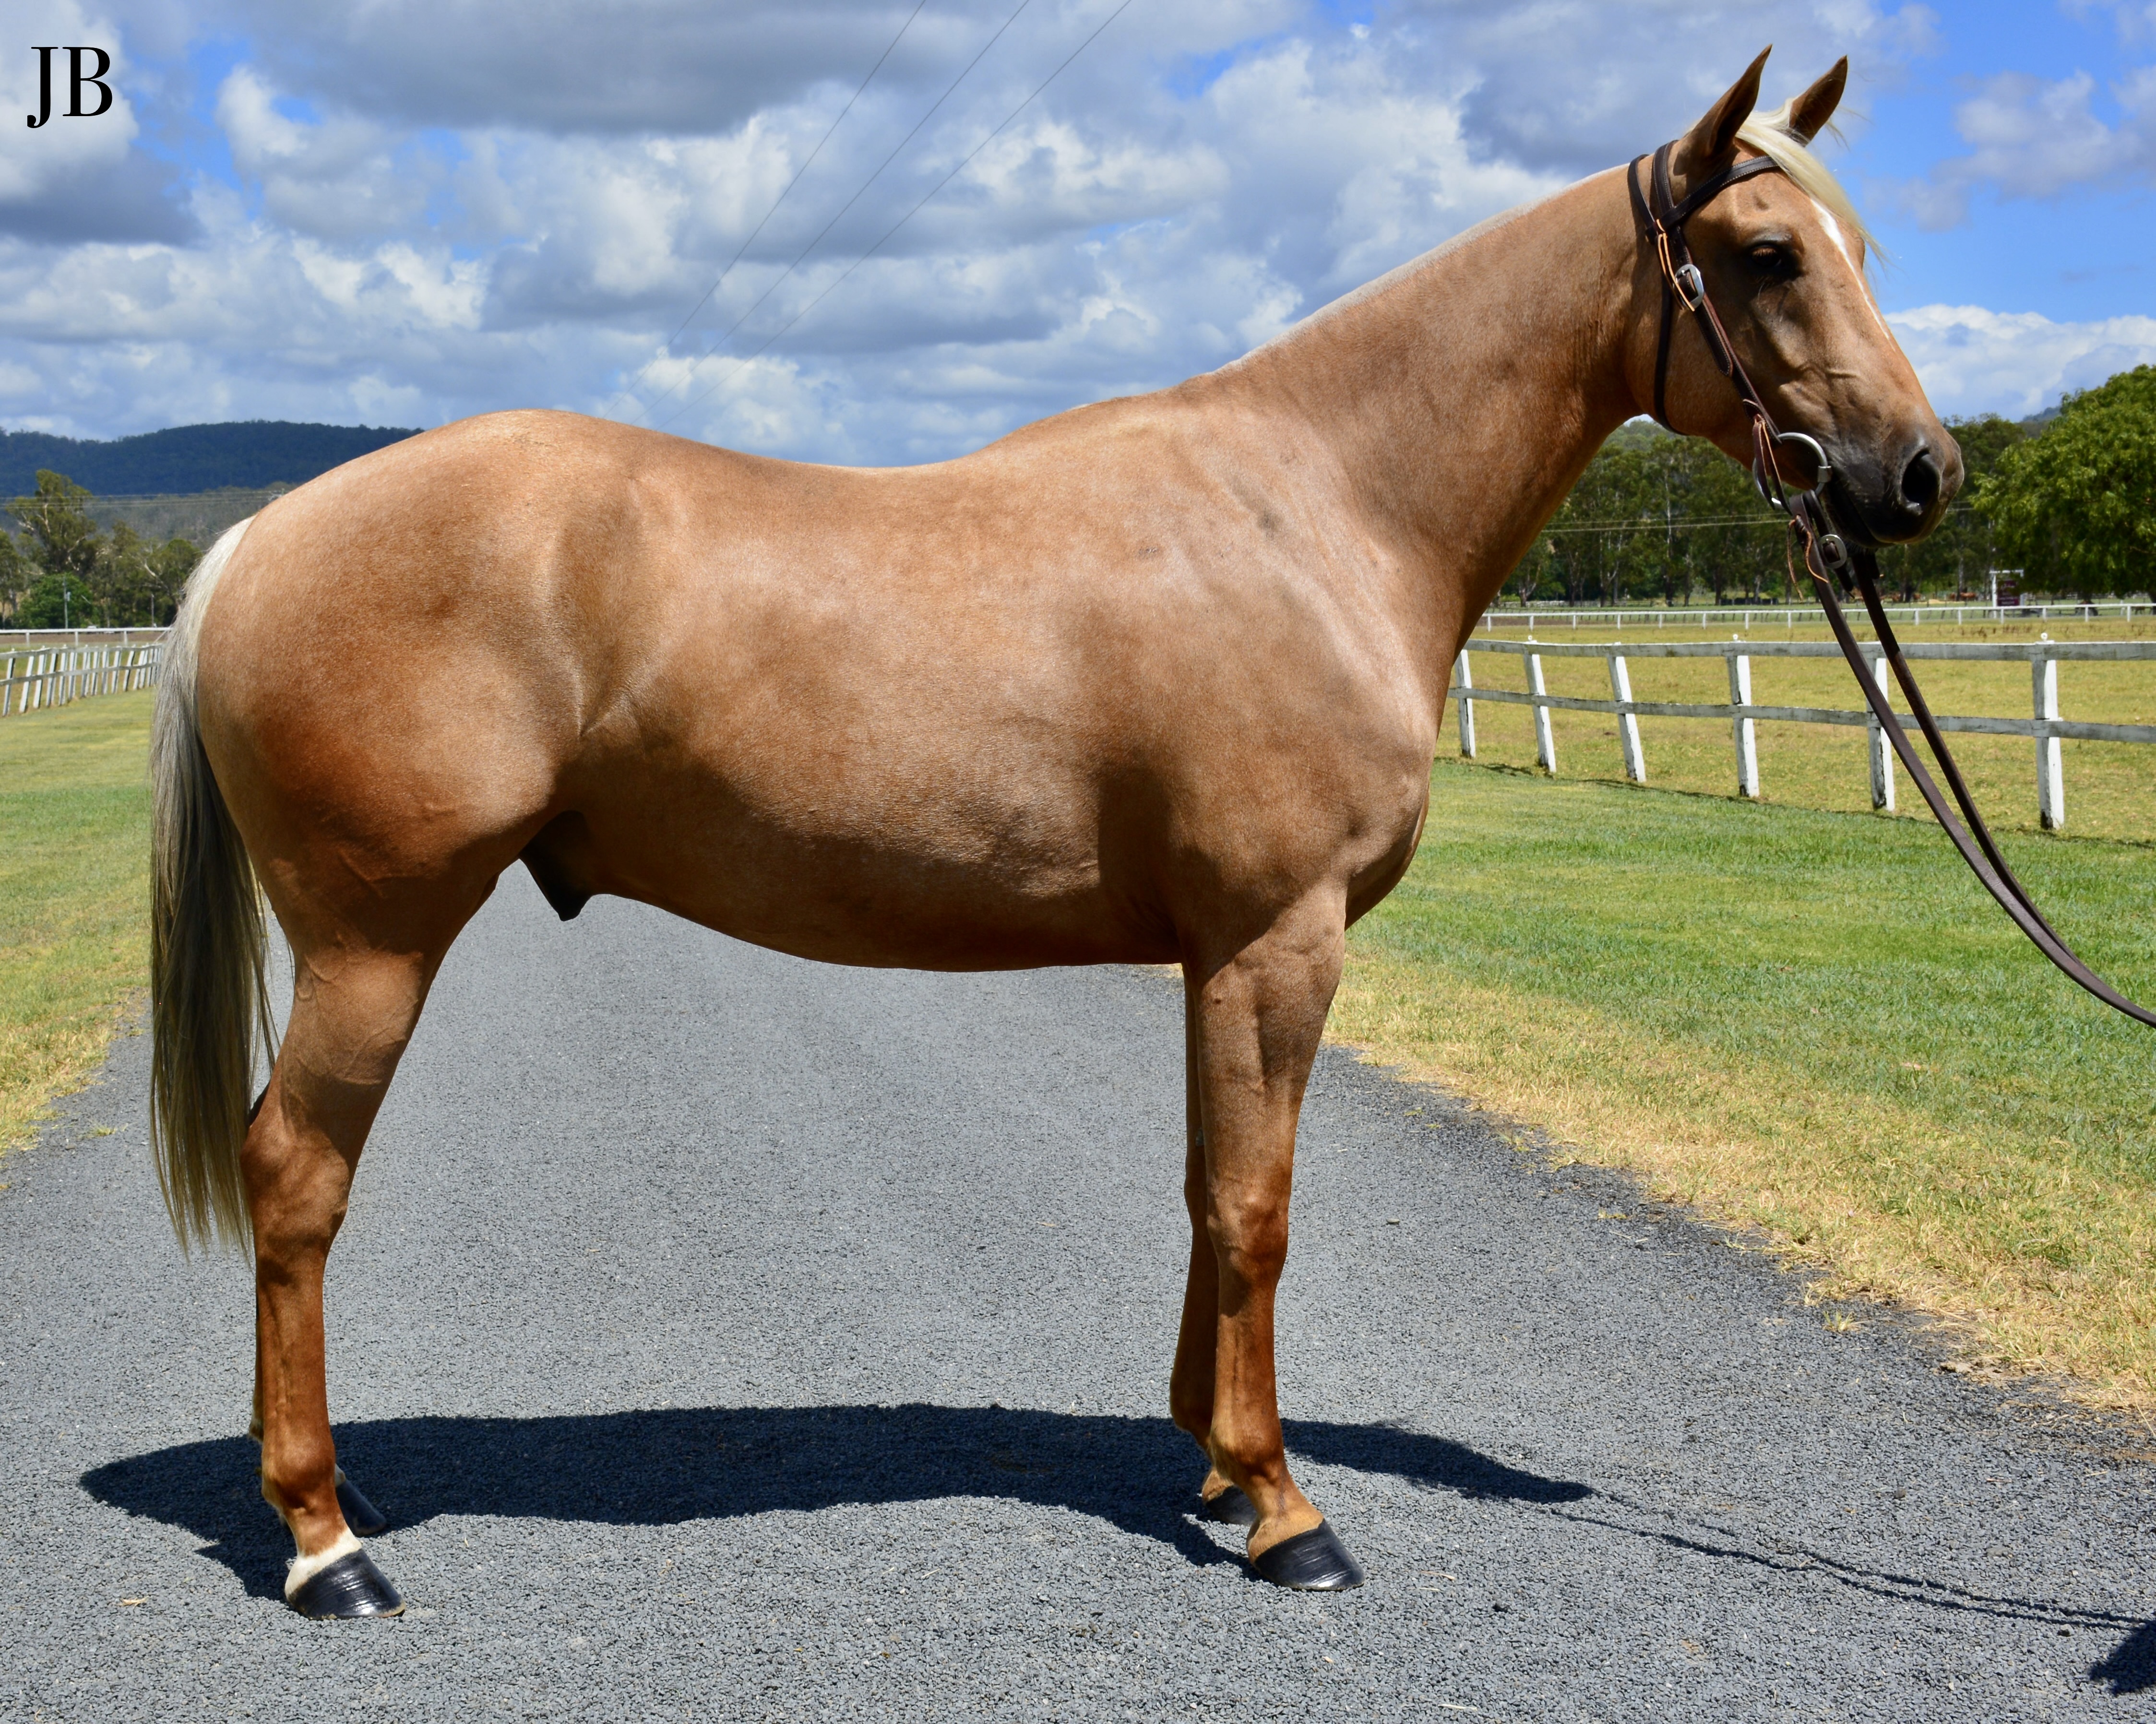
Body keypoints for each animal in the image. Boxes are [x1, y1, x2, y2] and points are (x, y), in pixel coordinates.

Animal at [149, 48, 1957, 1617]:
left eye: (1859, 246)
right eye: (1768, 252)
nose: (1916, 474)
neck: (1316, 512)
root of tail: (257, 541)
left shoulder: (1215, 952)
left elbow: (1207, 1189)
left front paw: (1216, 1465)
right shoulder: (1278, 938)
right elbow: (1258, 1207)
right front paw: (1284, 1510)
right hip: (375, 942)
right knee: (292, 1176)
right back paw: (323, 1539)